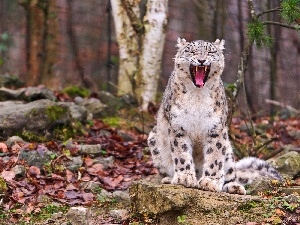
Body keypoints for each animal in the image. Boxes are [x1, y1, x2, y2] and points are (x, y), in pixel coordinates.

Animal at [148, 37, 282, 194]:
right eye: (191, 51)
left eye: (210, 52)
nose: (201, 60)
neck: (198, 95)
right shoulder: (178, 126)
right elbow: (182, 153)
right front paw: (185, 178)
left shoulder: (216, 128)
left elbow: (215, 156)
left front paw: (210, 182)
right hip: (154, 140)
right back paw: (170, 178)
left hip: (228, 151)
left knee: (230, 173)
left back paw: (234, 187)